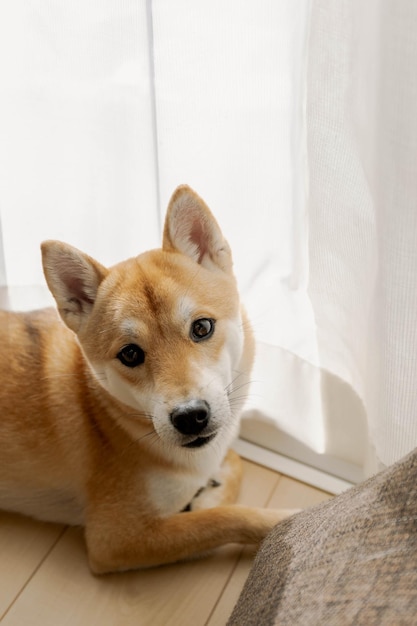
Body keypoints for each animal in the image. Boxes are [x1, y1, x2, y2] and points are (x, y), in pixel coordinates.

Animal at [0, 186, 294, 572]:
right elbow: (224, 519)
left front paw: (207, 493)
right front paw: (280, 519)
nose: (190, 417)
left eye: (202, 327)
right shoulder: (116, 539)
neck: (109, 417)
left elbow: (234, 461)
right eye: (130, 354)